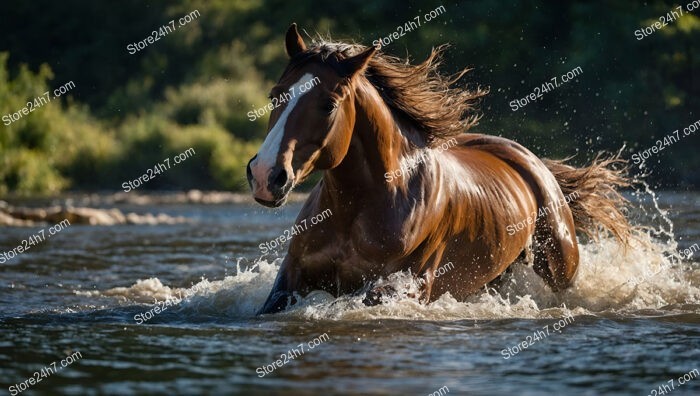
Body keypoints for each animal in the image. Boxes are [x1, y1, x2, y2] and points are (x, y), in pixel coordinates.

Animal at [249, 24, 632, 316]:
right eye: (275, 94)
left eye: (329, 104)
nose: (267, 175)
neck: (358, 208)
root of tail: (535, 165)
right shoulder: (290, 280)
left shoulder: (405, 285)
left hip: (559, 267)